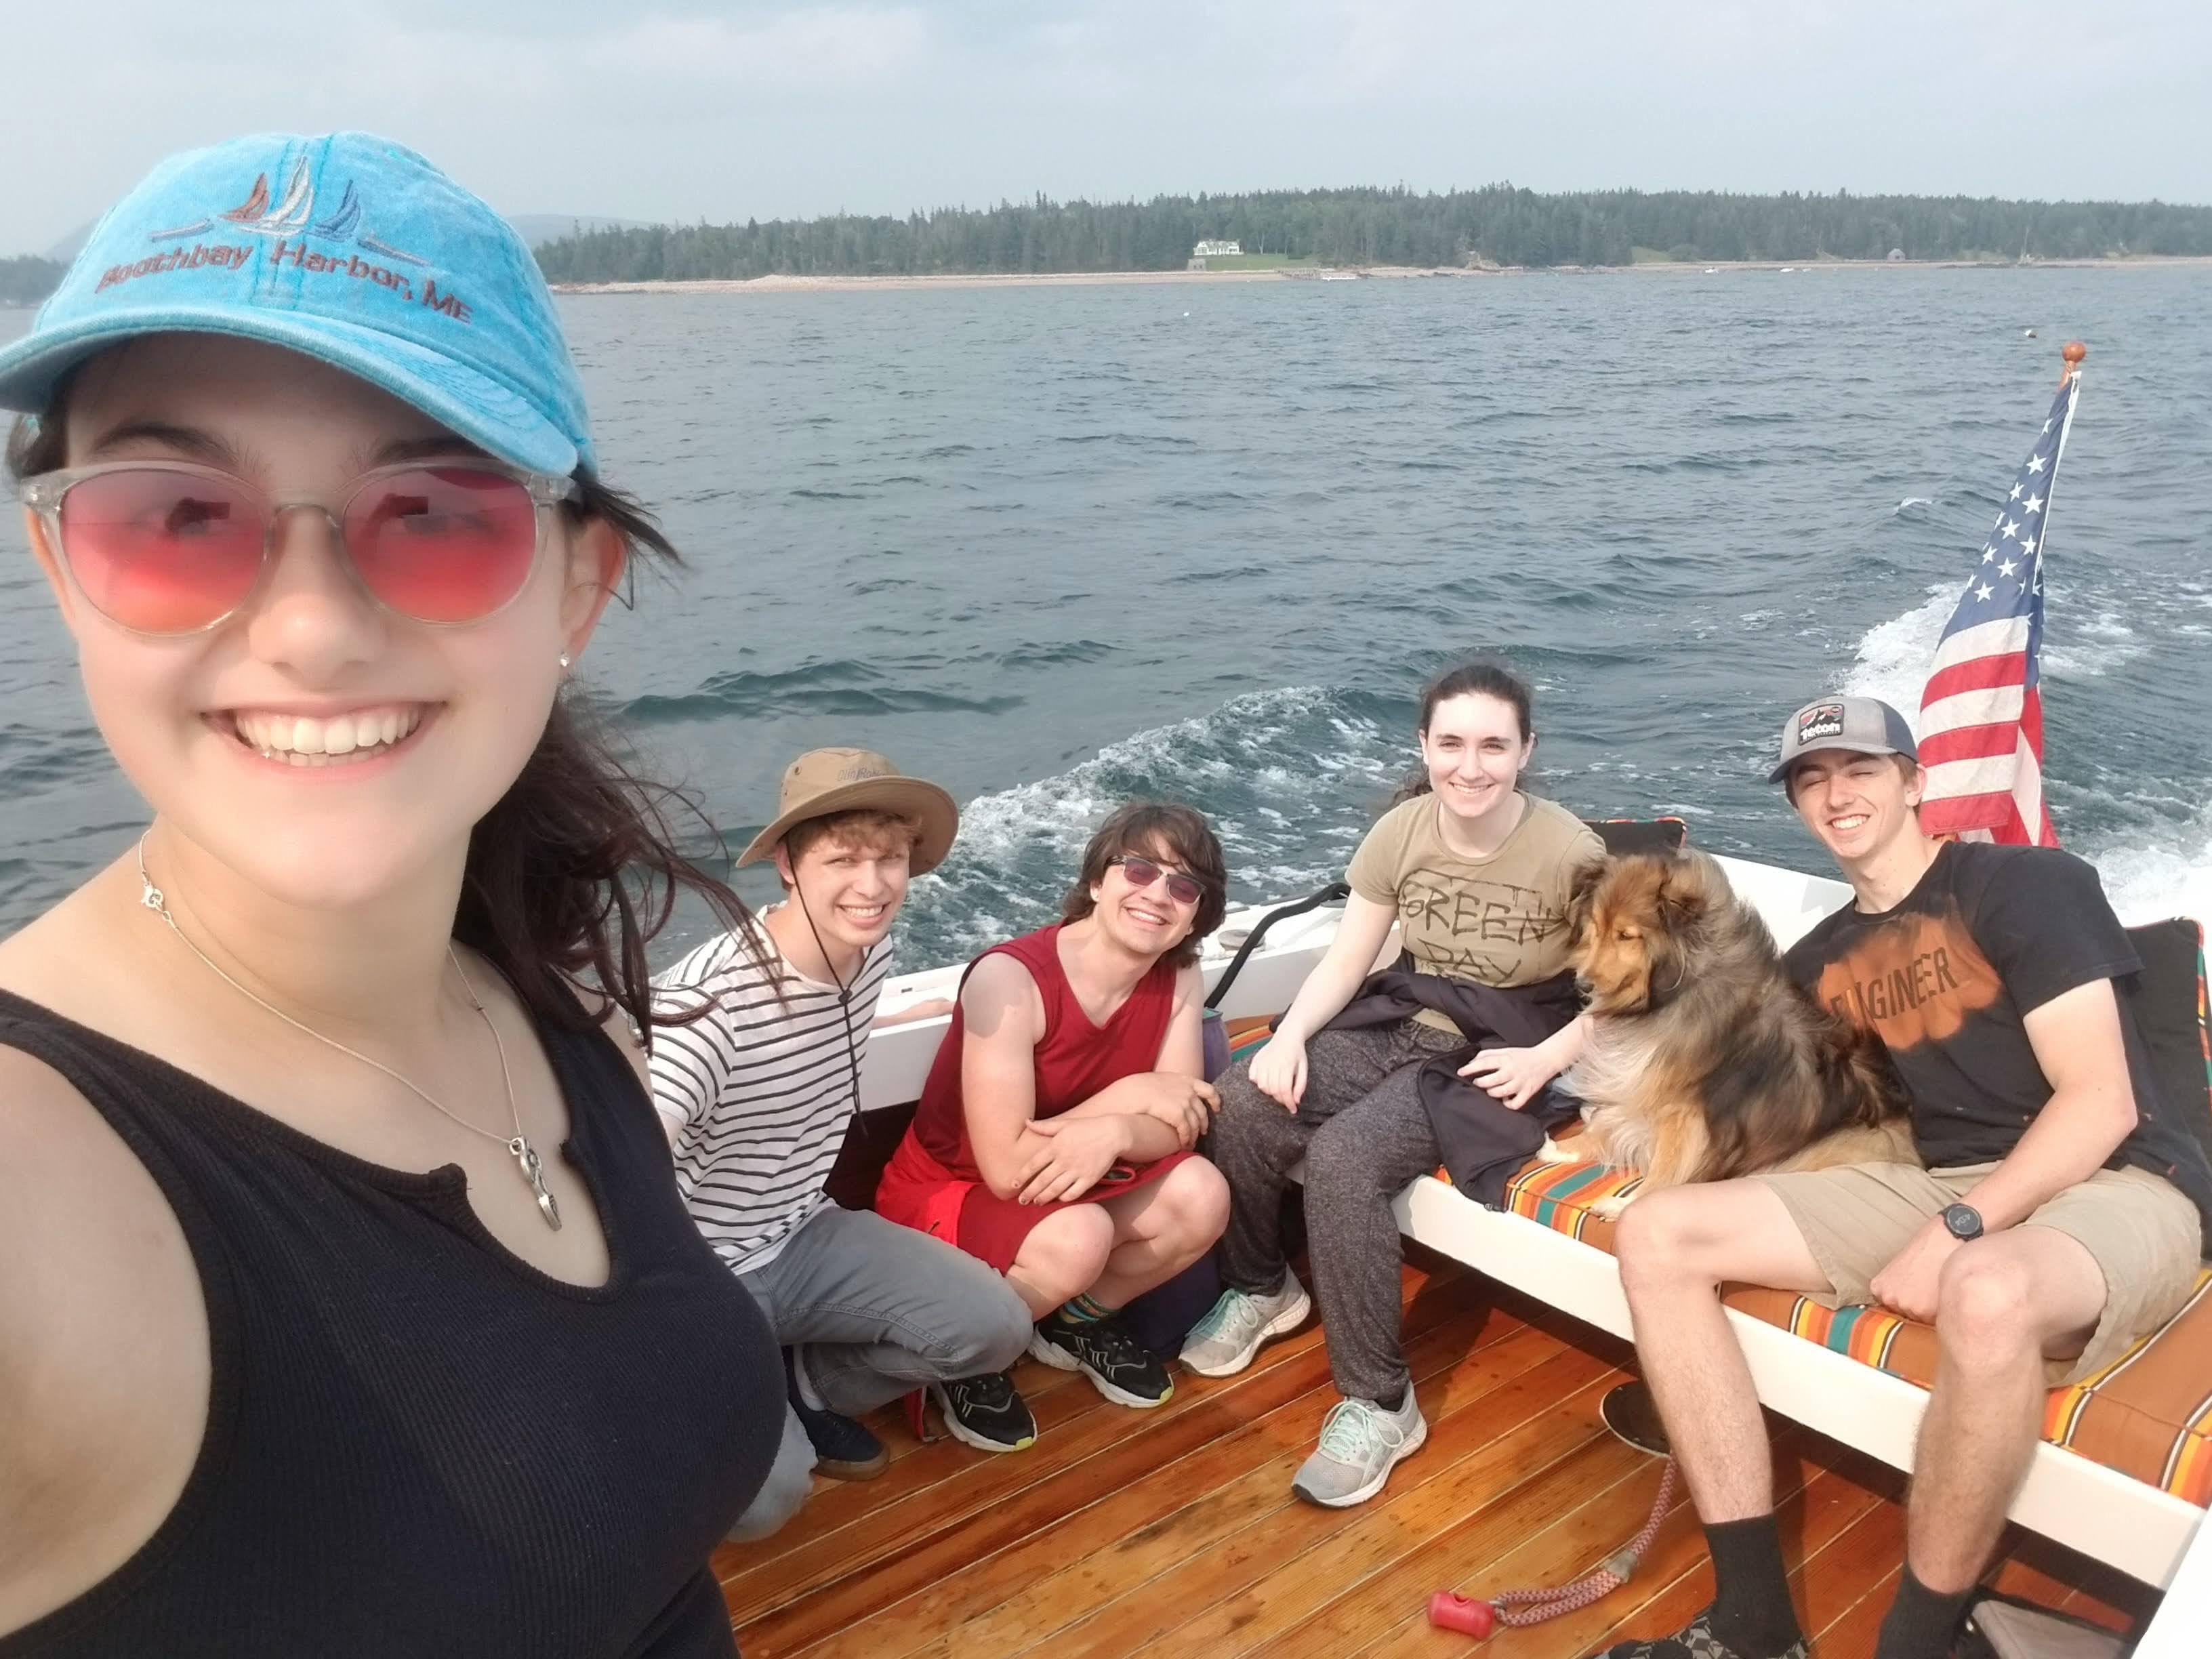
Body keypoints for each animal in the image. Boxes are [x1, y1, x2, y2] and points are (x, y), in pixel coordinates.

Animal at [1557, 844, 1920, 1212]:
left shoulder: (1684, 1113)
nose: (1582, 985)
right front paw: (1564, 1149)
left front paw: (1623, 1205)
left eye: (1627, 936)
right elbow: (1609, 1120)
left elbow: (1665, 1167)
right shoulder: (1638, 1078)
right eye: (1596, 927)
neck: (1680, 991)